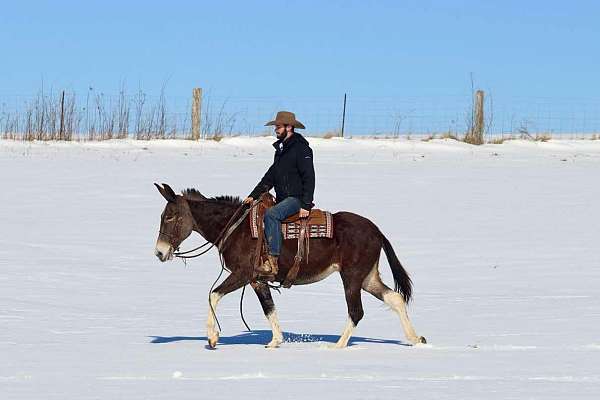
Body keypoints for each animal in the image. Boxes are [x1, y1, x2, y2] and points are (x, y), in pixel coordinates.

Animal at [155, 183, 426, 348]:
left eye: (170, 217)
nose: (159, 252)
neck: (236, 228)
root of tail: (376, 230)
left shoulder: (243, 273)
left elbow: (213, 294)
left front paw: (212, 337)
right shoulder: (257, 280)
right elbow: (269, 309)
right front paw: (275, 341)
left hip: (351, 277)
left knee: (356, 311)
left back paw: (337, 346)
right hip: (367, 277)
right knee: (395, 299)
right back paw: (415, 338)